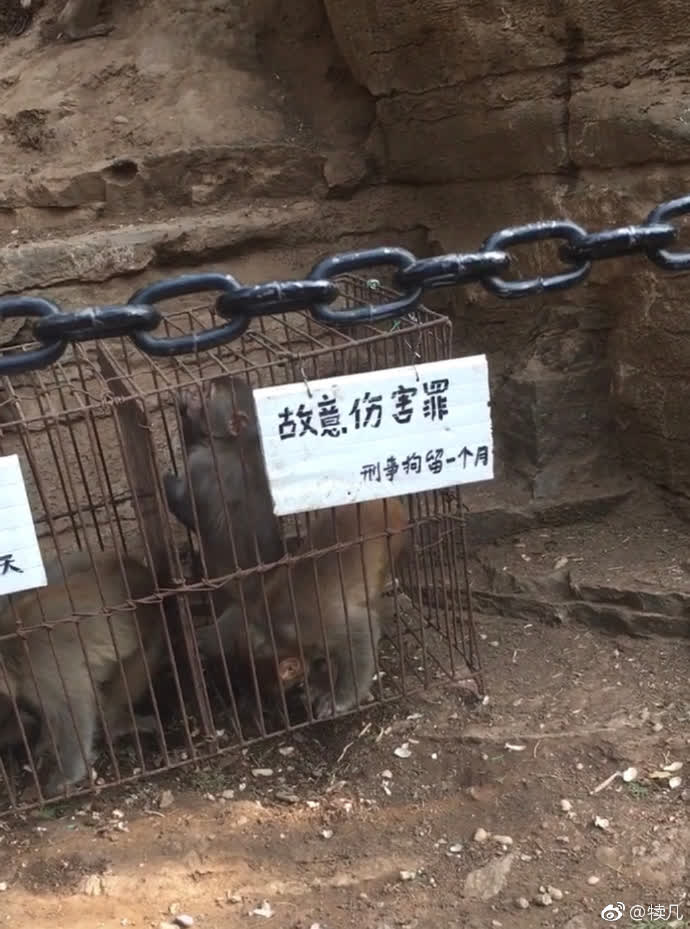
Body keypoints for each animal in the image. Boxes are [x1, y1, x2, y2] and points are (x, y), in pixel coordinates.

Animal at [0, 550, 164, 795]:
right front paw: (46, 742)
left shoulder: (43, 670)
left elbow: (76, 707)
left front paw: (66, 776)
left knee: (143, 657)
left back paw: (115, 723)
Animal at [163, 375, 284, 611]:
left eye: (209, 394)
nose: (197, 391)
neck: (238, 442)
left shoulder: (201, 465)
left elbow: (189, 512)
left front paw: (167, 481)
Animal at [197, 497, 409, 720]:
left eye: (295, 685)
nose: (297, 695)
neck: (271, 630)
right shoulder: (252, 610)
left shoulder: (316, 627)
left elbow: (361, 633)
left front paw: (338, 700)